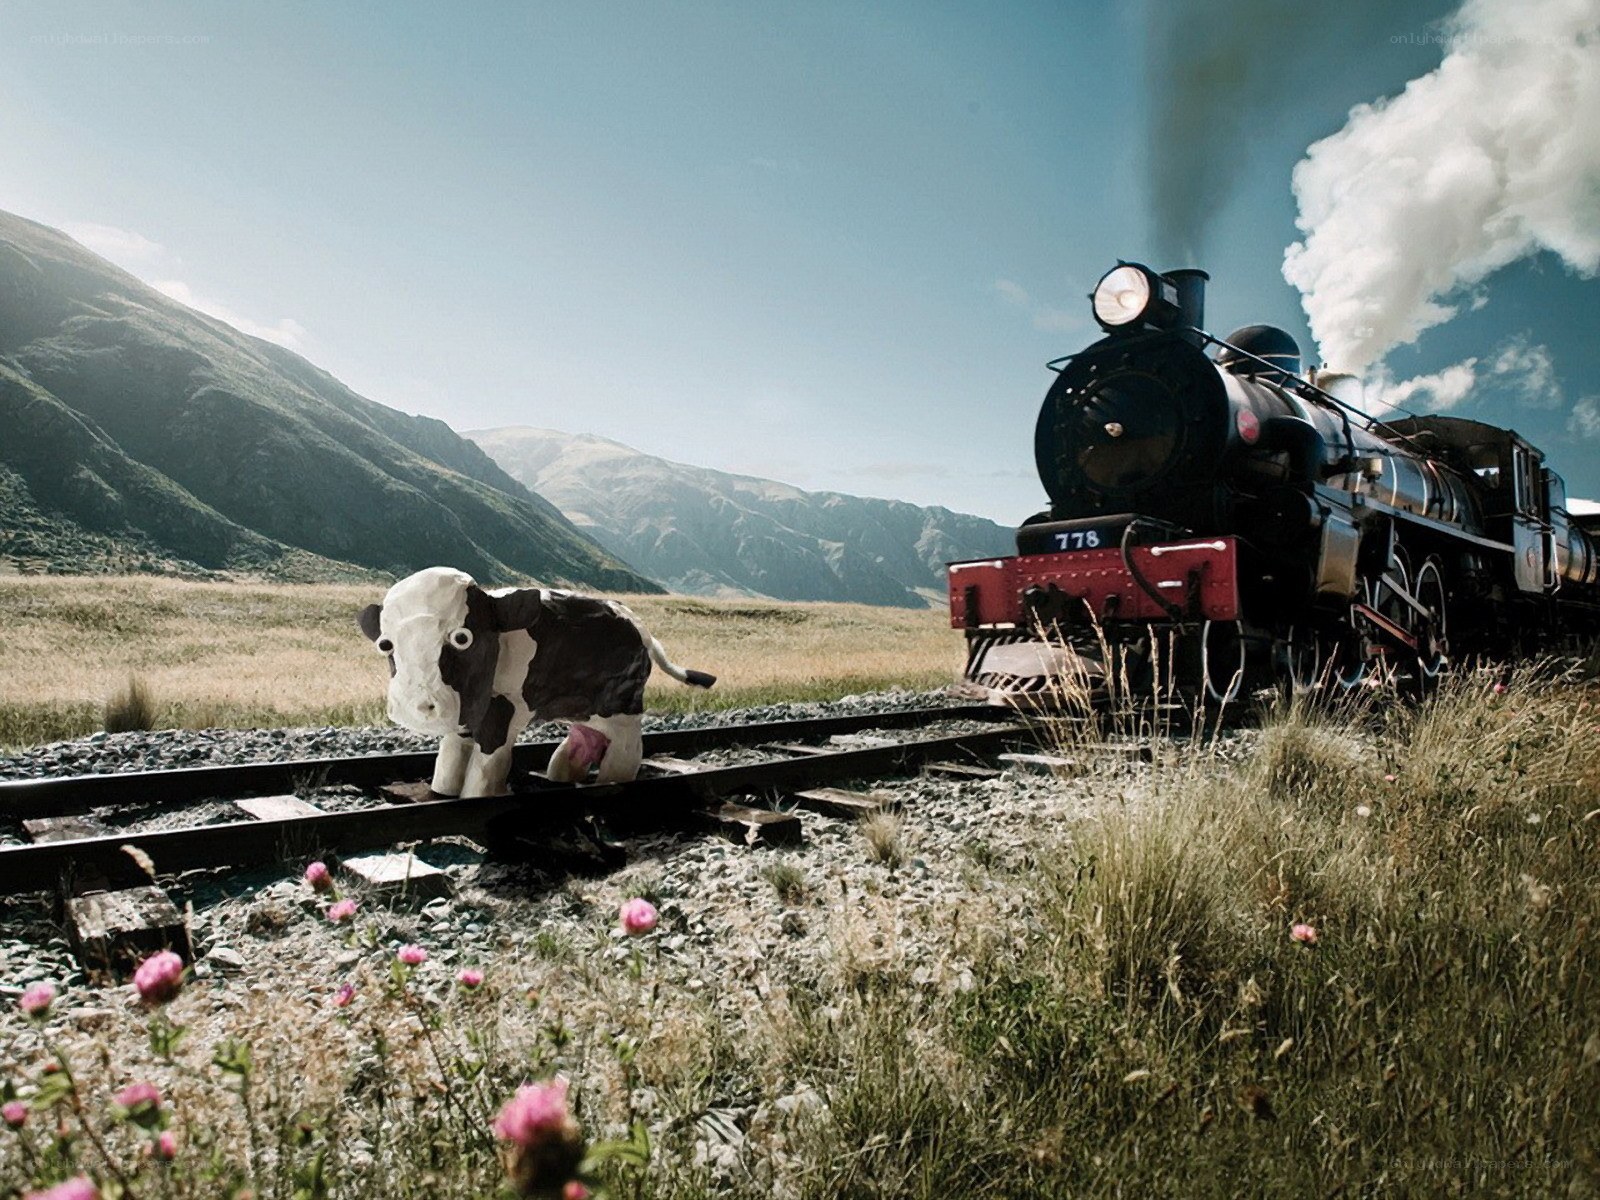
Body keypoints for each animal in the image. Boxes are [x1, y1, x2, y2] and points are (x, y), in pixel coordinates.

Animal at [358, 567, 715, 797]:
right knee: (586, 735)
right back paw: (562, 774)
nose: (418, 705)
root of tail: (641, 627)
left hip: (622, 705)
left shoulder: (504, 707)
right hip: (584, 706)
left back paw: (612, 780)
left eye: (462, 638)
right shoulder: (468, 709)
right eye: (385, 644)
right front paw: (442, 791)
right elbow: (451, 752)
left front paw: (475, 796)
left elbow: (488, 760)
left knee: (627, 746)